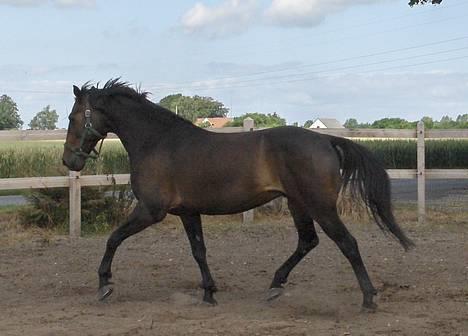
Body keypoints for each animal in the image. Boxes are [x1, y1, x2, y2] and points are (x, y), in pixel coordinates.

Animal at [62, 80, 414, 312]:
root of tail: (326, 140)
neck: (158, 142)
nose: (69, 161)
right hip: (298, 204)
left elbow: (113, 239)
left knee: (347, 244)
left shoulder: (151, 210)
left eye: (72, 118)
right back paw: (274, 286)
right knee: (307, 241)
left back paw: (368, 299)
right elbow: (199, 251)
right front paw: (209, 293)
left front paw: (104, 284)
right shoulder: (188, 212)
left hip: (320, 206)